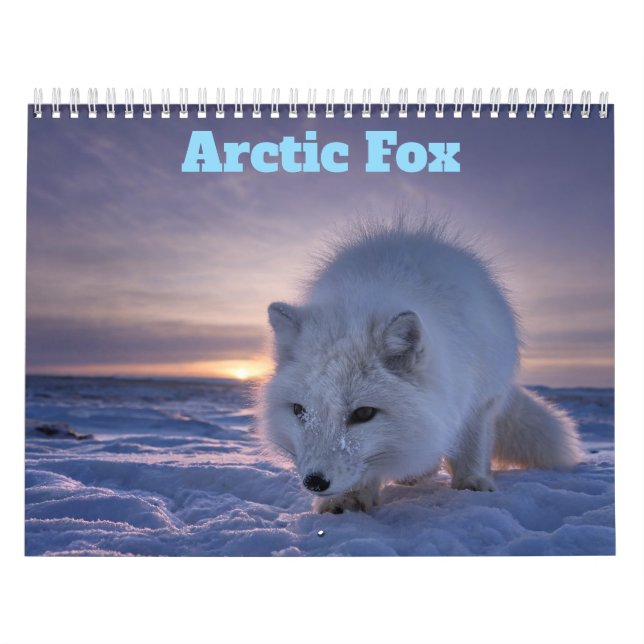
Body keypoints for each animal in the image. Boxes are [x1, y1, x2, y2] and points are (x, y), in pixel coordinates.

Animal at [258, 219, 583, 514]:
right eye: (299, 410)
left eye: (364, 413)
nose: (314, 481)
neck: (368, 295)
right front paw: (346, 499)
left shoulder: (480, 396)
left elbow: (471, 443)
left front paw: (471, 482)